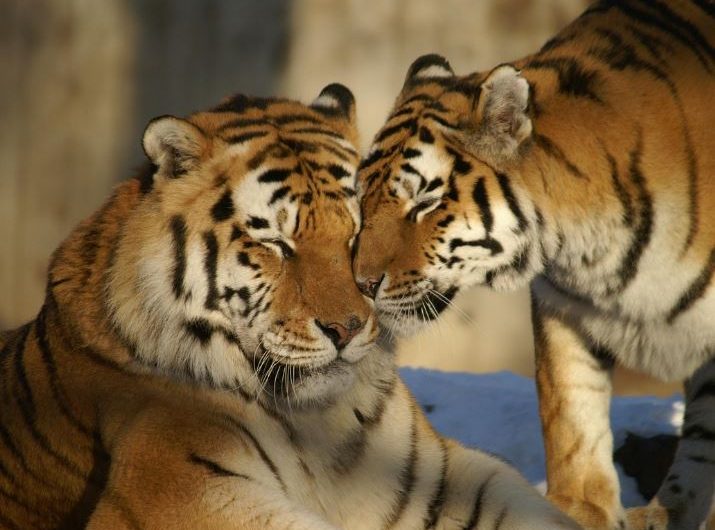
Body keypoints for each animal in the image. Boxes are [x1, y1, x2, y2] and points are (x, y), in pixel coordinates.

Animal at [0, 86, 580, 529]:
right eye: (276, 243)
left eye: (358, 231)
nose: (347, 328)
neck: (322, 425)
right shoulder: (175, 490)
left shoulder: (440, 479)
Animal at [352, 1, 715, 529]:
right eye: (363, 197)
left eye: (424, 202)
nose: (361, 282)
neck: (586, 247)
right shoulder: (565, 306)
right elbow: (571, 414)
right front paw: (582, 508)